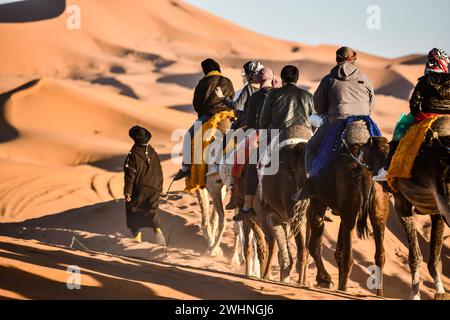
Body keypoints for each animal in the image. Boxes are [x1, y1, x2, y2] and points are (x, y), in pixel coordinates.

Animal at [306, 121, 390, 296]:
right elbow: (337, 249)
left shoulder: (317, 203)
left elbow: (315, 245)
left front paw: (324, 280)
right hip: (377, 213)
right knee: (380, 255)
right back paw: (378, 294)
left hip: (347, 213)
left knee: (348, 256)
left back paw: (342, 289)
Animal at [360, 115, 450, 300]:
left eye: (364, 147)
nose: (357, 150)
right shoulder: (436, 211)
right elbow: (434, 259)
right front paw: (439, 292)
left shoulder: (402, 205)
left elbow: (416, 256)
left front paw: (416, 294)